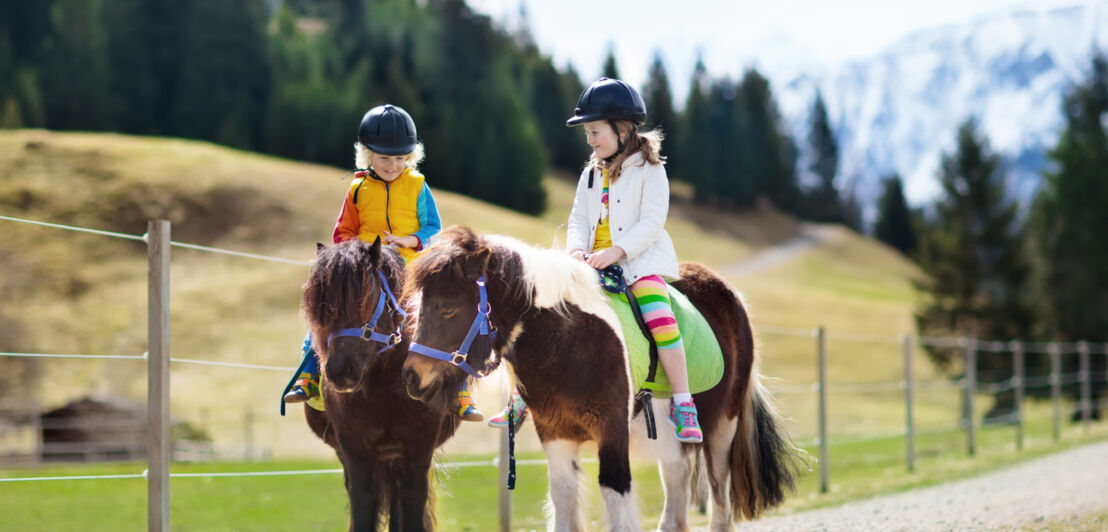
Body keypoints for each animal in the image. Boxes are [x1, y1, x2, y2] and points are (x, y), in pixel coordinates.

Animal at [299, 239, 458, 529]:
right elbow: (362, 500)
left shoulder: (419, 446)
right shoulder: (354, 449)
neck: (384, 386)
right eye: (322, 310)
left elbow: (413, 499)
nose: (339, 371)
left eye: (364, 300)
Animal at [398, 227, 797, 532]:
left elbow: (615, 496)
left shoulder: (612, 431)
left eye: (449, 307)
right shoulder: (555, 434)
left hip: (721, 429)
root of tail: (730, 296)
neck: (567, 341)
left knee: (719, 500)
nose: (412, 377)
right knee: (678, 485)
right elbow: (562, 502)